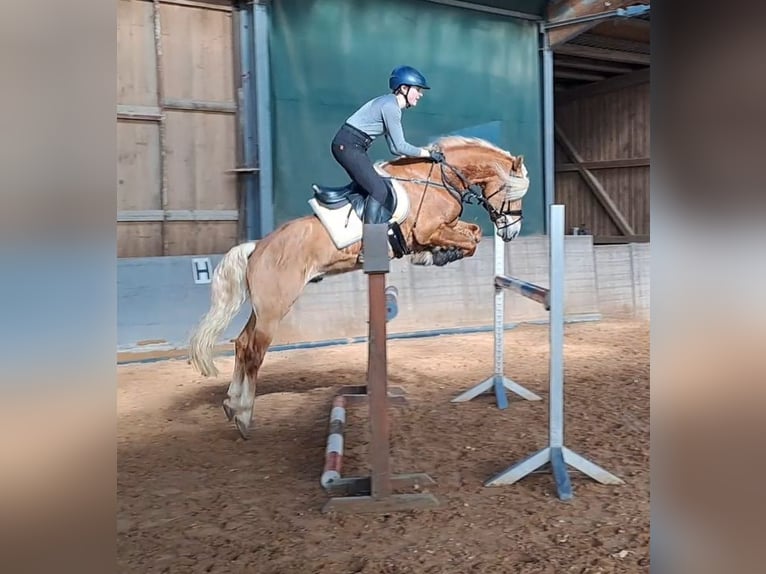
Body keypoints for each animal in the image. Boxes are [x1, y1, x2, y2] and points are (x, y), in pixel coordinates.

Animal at [189, 136, 532, 440]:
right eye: (512, 191)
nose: (511, 232)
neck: (437, 178)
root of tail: (257, 247)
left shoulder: (442, 228)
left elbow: (473, 233)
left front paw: (437, 255)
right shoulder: (429, 229)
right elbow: (470, 240)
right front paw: (437, 255)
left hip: (263, 309)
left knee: (242, 344)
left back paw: (231, 405)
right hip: (275, 308)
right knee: (254, 352)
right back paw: (244, 414)